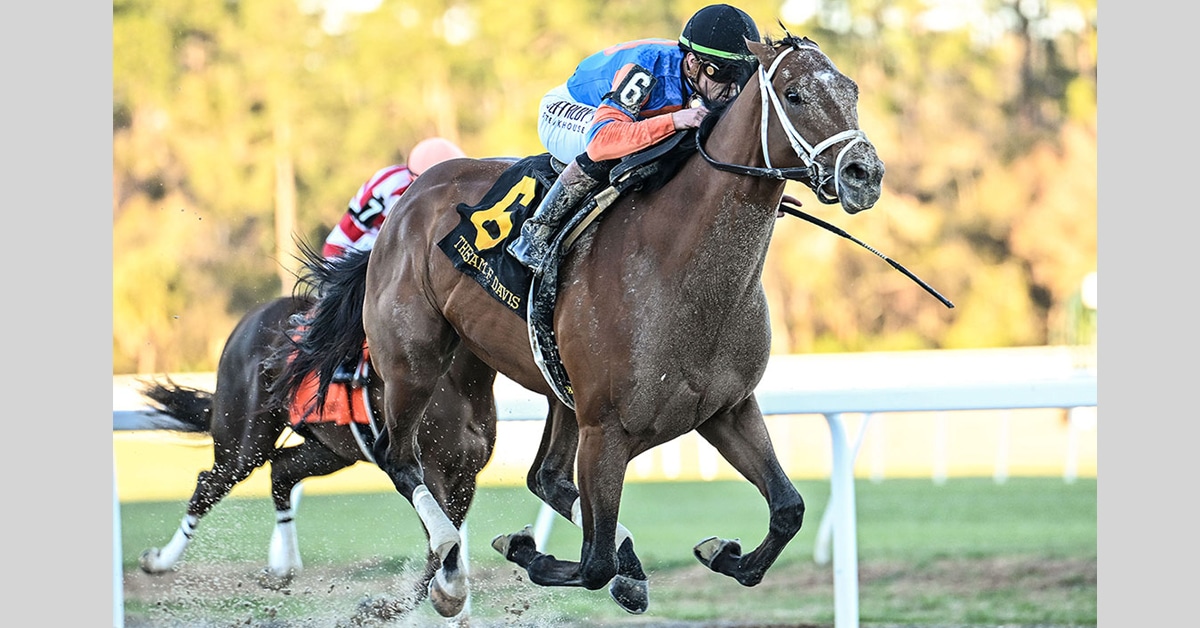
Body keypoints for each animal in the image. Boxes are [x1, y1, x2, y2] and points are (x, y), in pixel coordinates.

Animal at [136, 288, 499, 609]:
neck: (458, 381)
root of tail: (252, 317)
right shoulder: (428, 469)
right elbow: (443, 545)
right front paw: (393, 607)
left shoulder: (466, 477)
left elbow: (445, 545)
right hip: (243, 441)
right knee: (209, 483)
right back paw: (158, 560)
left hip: (332, 450)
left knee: (281, 470)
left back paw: (283, 568)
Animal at [274, 34, 884, 618]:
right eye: (795, 95)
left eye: (853, 90)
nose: (865, 174)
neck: (677, 265)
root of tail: (411, 196)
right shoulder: (606, 429)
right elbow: (593, 562)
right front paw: (530, 551)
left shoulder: (726, 410)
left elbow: (787, 509)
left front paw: (722, 553)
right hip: (413, 363)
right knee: (399, 457)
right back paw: (449, 570)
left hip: (548, 386)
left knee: (542, 477)